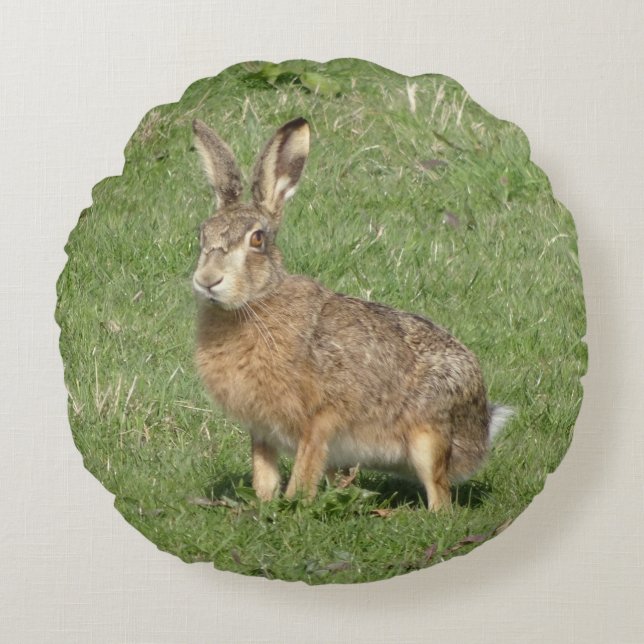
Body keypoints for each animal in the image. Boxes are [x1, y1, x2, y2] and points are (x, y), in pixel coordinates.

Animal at [191, 117, 512, 510]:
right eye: (202, 234)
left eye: (257, 239)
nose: (208, 280)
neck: (257, 303)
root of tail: (481, 432)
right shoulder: (261, 429)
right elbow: (264, 474)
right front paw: (264, 505)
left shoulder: (320, 419)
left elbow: (305, 469)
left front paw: (294, 506)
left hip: (429, 436)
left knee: (440, 495)